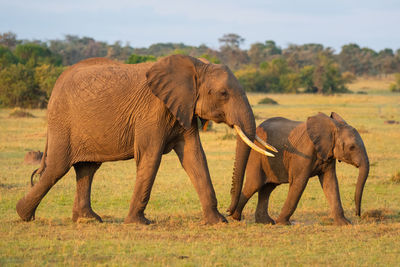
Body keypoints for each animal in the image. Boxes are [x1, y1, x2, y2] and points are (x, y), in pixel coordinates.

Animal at [17, 55, 276, 225]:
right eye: (223, 94)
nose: (232, 213)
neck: (196, 65)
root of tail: (57, 83)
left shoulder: (182, 108)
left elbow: (195, 158)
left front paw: (217, 222)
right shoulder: (152, 111)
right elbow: (150, 157)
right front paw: (138, 223)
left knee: (87, 169)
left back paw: (89, 219)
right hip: (63, 122)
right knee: (57, 168)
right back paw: (23, 215)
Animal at [230, 112, 370, 226]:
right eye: (352, 147)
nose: (358, 215)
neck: (333, 126)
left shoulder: (327, 153)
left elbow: (330, 183)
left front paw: (345, 224)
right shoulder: (304, 152)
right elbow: (299, 183)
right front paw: (283, 223)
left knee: (267, 188)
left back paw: (266, 222)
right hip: (257, 156)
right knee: (254, 184)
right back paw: (234, 218)